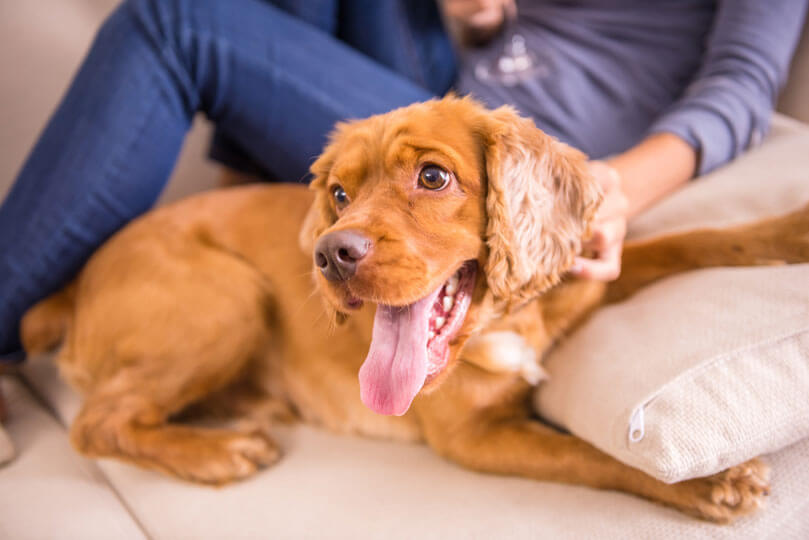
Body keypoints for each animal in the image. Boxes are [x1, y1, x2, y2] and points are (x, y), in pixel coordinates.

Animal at [19, 97, 808, 524]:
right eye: (337, 194)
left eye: (433, 176)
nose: (329, 253)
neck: (502, 318)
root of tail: (74, 286)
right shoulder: (474, 438)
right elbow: (591, 455)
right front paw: (709, 481)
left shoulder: (582, 274)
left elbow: (690, 241)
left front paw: (789, 231)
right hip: (229, 299)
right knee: (96, 424)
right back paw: (218, 452)